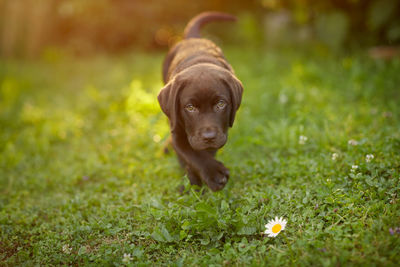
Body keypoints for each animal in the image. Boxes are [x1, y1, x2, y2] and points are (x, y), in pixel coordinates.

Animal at [158, 12, 242, 193]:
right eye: (190, 107)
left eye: (221, 104)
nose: (208, 137)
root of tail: (193, 38)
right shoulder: (178, 130)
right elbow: (189, 153)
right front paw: (211, 174)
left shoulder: (220, 131)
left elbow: (204, 152)